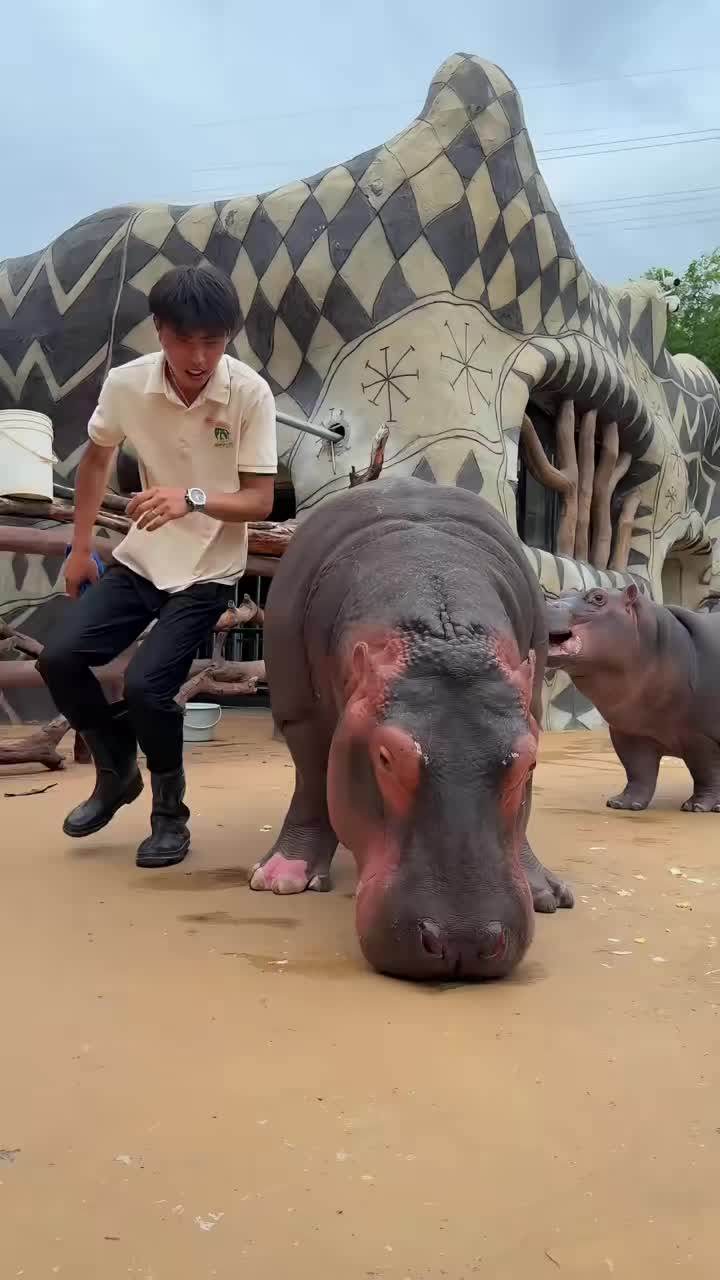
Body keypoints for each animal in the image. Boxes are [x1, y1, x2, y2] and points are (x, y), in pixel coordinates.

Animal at [250, 476, 573, 981]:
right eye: (385, 757)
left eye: (529, 762)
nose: (464, 941)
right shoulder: (297, 711)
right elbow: (311, 783)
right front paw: (281, 877)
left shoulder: (530, 706)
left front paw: (545, 891)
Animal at [546, 585, 720, 813]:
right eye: (563, 593)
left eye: (598, 597)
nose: (545, 604)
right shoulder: (630, 732)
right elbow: (637, 770)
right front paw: (622, 803)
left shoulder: (701, 736)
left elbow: (706, 772)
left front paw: (697, 806)